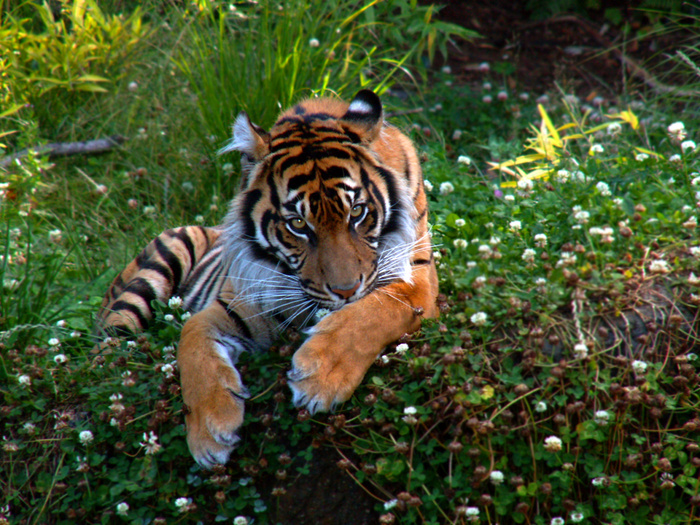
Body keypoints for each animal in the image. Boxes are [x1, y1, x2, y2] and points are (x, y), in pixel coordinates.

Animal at [98, 89, 438, 466]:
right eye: (298, 224)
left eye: (357, 212)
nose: (346, 291)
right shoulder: (241, 303)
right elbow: (192, 338)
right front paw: (209, 430)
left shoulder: (417, 280)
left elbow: (375, 313)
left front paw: (319, 377)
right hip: (157, 267)